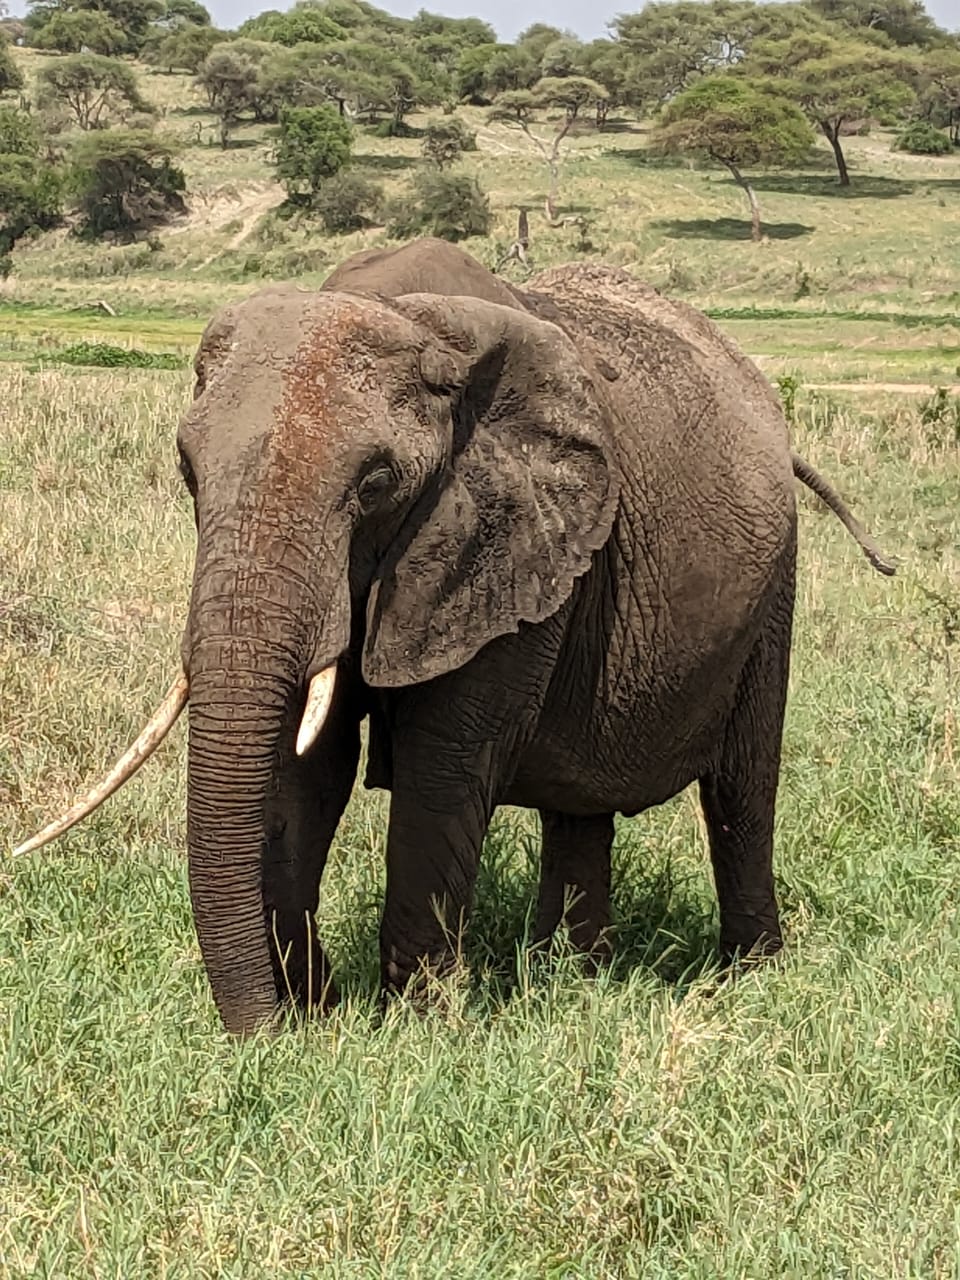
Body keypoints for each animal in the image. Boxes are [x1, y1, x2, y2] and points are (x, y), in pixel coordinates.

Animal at [15, 237, 896, 1037]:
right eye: (188, 470)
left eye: (375, 483)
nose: (257, 1034)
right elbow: (309, 766)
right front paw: (313, 1018)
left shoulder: (508, 545)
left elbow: (443, 763)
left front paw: (413, 1031)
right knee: (581, 806)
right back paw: (573, 979)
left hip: (774, 582)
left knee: (741, 787)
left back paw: (746, 978)